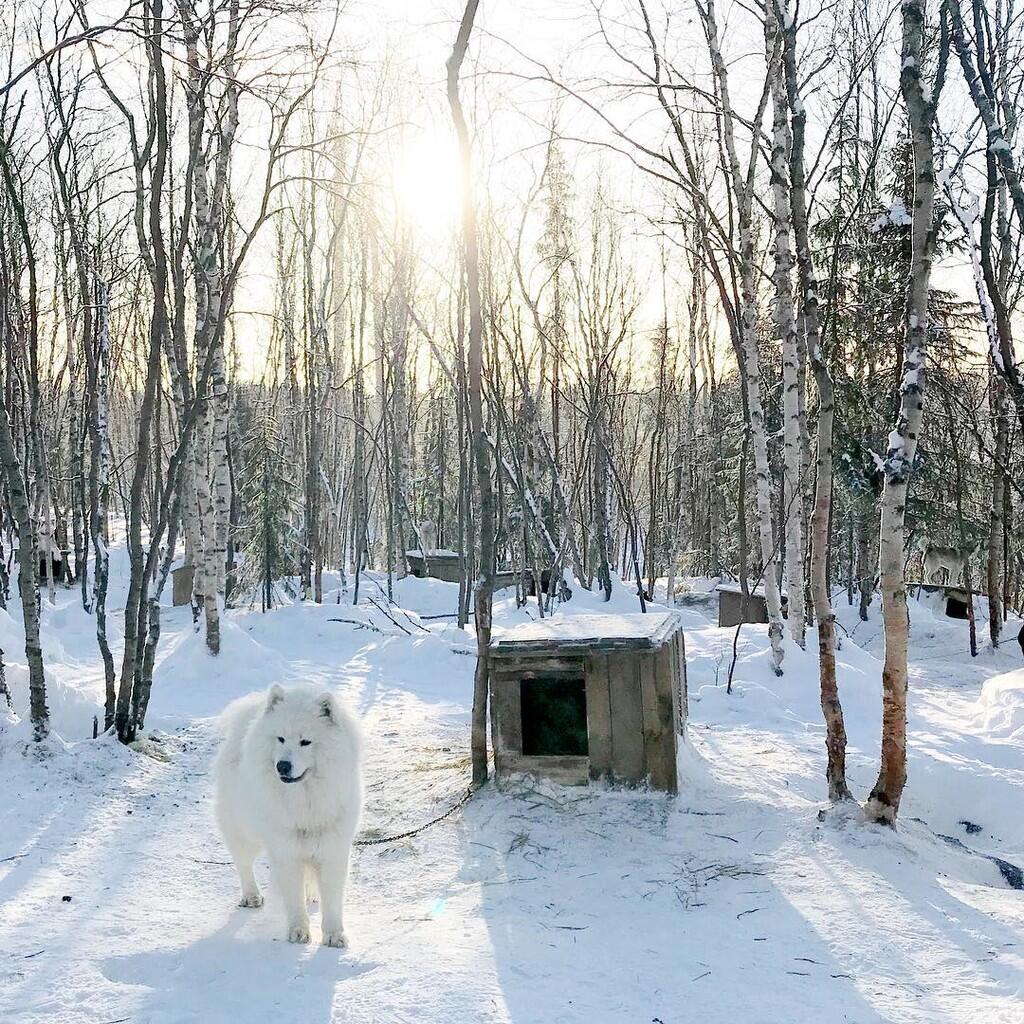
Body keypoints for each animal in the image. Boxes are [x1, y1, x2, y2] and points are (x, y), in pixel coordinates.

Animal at [214, 684, 362, 946]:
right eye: (280, 738)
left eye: (306, 742)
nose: (282, 766)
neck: (304, 798)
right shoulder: (286, 851)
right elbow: (293, 899)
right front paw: (298, 932)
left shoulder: (333, 850)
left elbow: (333, 900)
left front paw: (334, 935)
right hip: (242, 830)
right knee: (244, 864)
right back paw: (252, 896)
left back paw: (312, 894)